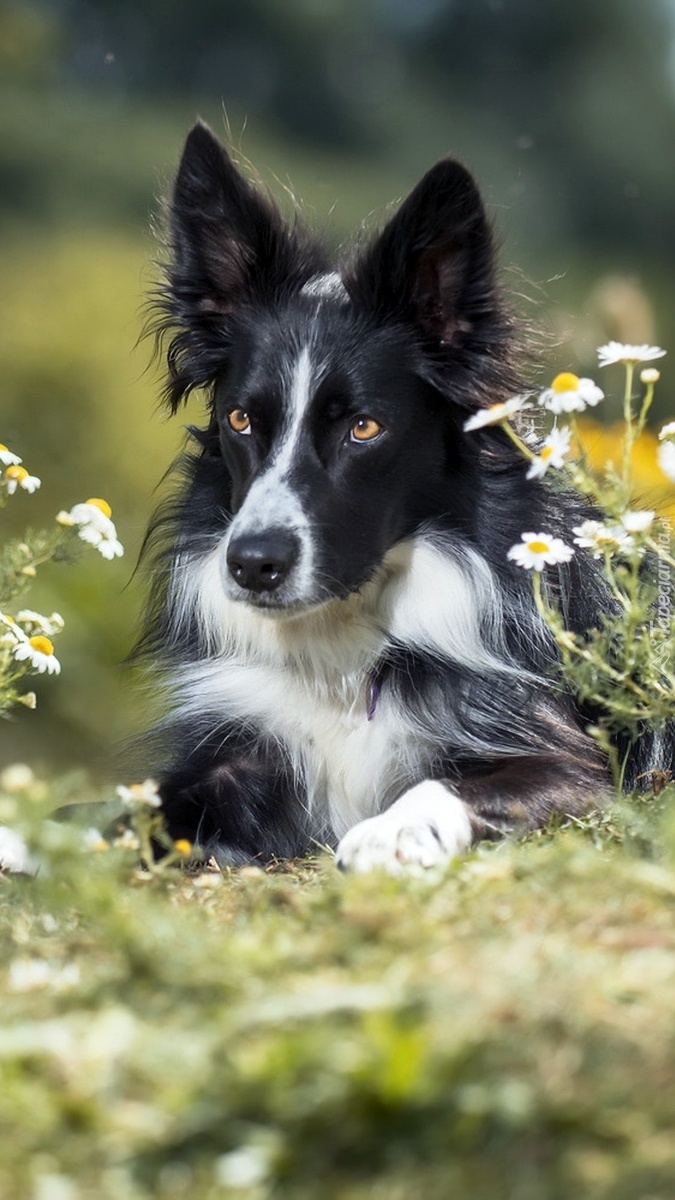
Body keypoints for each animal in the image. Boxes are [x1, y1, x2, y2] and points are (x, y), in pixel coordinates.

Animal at [140, 121, 667, 873]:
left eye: (364, 427)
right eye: (241, 420)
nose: (251, 565)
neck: (348, 658)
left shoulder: (573, 764)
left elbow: (448, 783)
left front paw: (393, 829)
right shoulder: (240, 754)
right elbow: (130, 804)